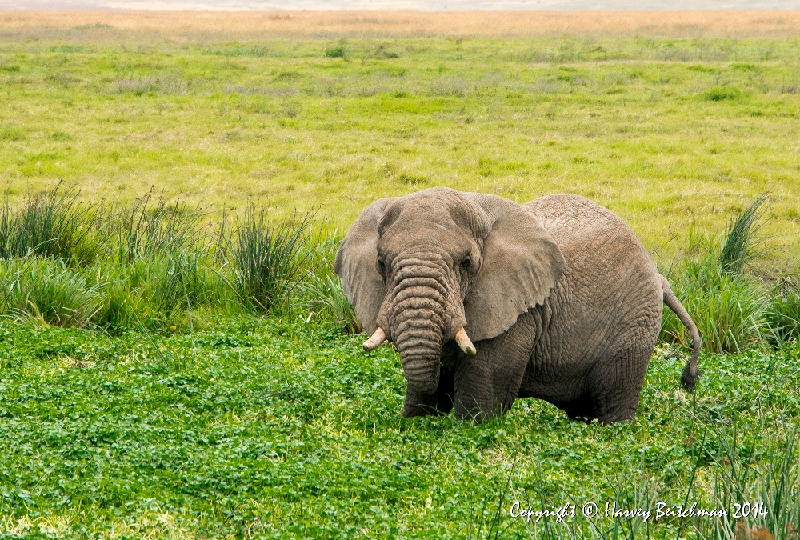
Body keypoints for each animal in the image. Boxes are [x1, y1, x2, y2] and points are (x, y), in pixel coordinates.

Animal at [334, 188, 696, 424]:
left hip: (634, 321)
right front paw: (416, 423)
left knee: (613, 404)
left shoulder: (519, 313)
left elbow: (485, 390)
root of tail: (659, 276)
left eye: (466, 263)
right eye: (381, 264)